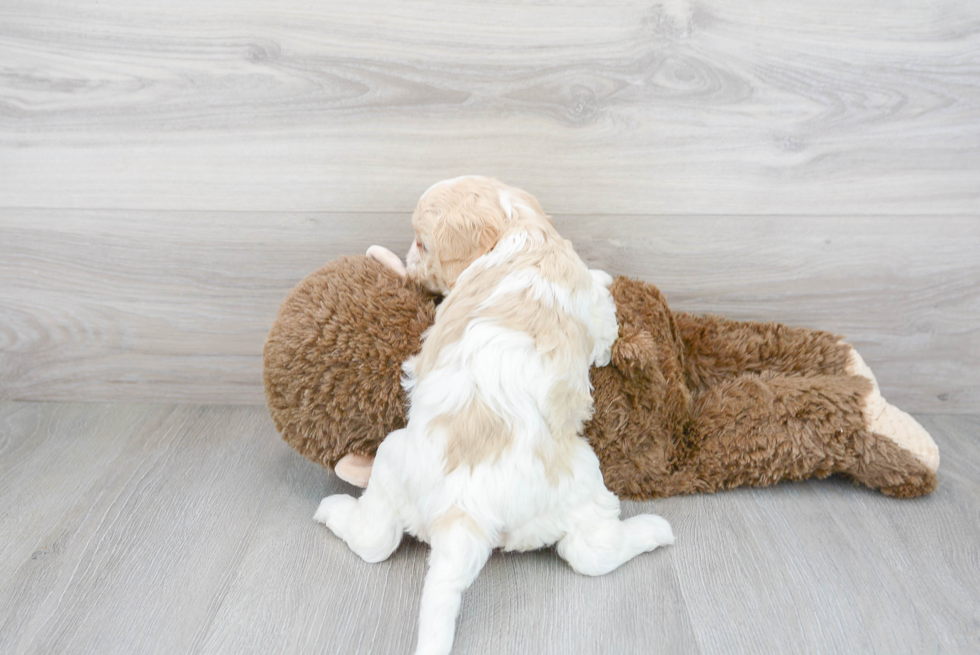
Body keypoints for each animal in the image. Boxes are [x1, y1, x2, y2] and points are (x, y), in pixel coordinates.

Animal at [316, 177, 672, 652]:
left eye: (421, 242)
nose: (409, 261)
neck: (517, 229)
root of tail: (465, 511)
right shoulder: (595, 309)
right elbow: (604, 319)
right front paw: (603, 276)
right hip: (581, 479)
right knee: (590, 550)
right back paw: (655, 531)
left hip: (403, 462)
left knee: (377, 539)